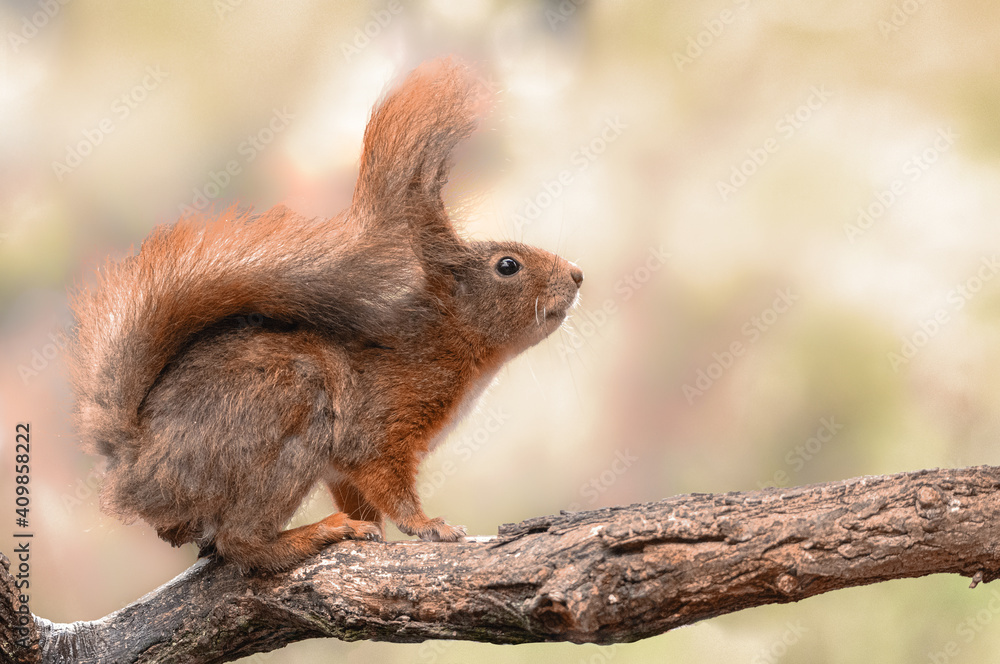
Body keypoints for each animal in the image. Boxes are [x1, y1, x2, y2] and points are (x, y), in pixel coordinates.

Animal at [67, 58, 583, 573]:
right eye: (507, 266)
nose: (577, 275)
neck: (451, 342)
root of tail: (137, 468)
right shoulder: (380, 426)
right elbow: (387, 480)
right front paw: (428, 524)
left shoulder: (347, 470)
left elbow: (360, 494)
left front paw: (374, 526)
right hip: (286, 413)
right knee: (241, 541)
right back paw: (318, 533)